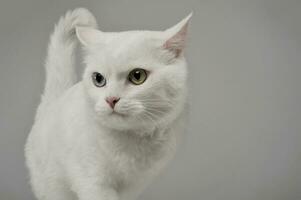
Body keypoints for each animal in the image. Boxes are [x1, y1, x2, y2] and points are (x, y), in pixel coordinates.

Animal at [24, 8, 191, 200]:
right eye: (98, 79)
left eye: (138, 76)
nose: (111, 99)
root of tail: (54, 101)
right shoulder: (92, 181)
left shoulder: (133, 187)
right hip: (52, 187)